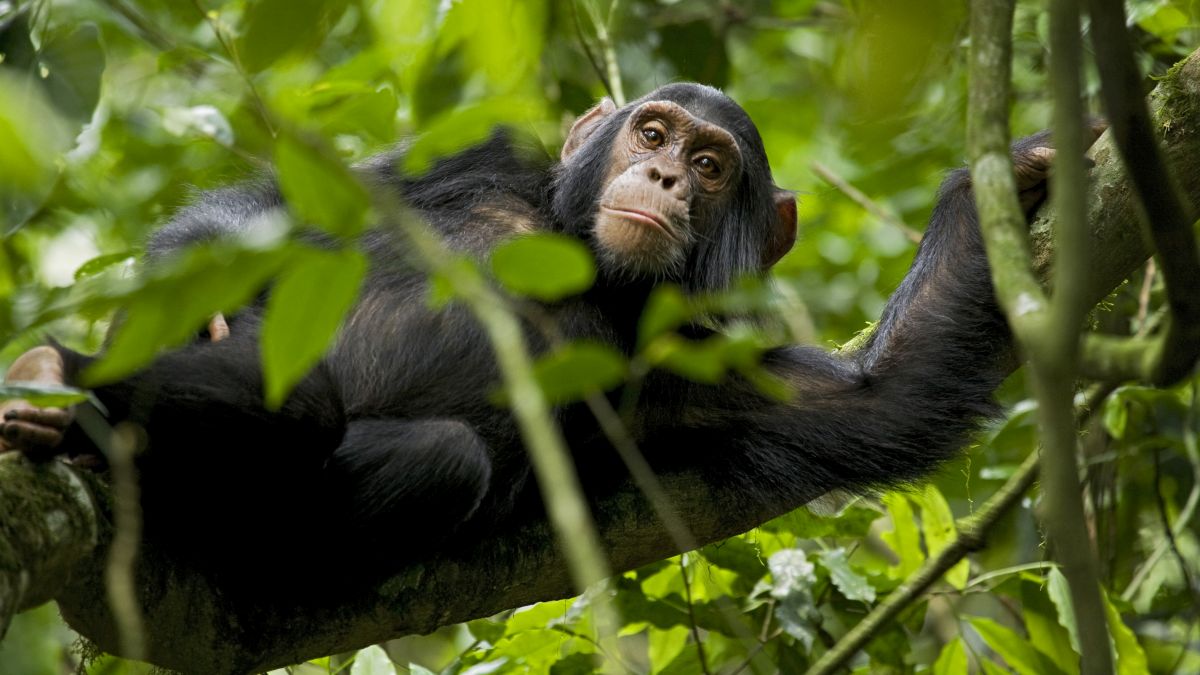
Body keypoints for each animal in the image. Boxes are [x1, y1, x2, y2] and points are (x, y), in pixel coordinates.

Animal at [0, 84, 1065, 586]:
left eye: (711, 165)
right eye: (652, 133)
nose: (665, 176)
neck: (586, 264)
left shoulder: (701, 365)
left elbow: (884, 397)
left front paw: (1000, 183)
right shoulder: (477, 156)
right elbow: (292, 217)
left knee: (422, 453)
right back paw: (63, 383)